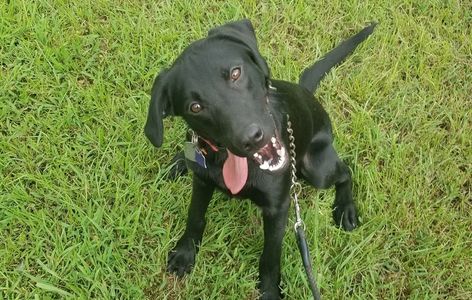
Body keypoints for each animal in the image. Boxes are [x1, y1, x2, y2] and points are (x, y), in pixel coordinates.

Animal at [146, 19, 374, 298]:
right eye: (195, 107)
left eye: (235, 73)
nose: (251, 138)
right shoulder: (201, 182)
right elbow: (195, 216)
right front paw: (185, 253)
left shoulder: (278, 208)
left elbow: (270, 256)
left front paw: (270, 290)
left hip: (316, 168)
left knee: (345, 171)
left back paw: (346, 209)